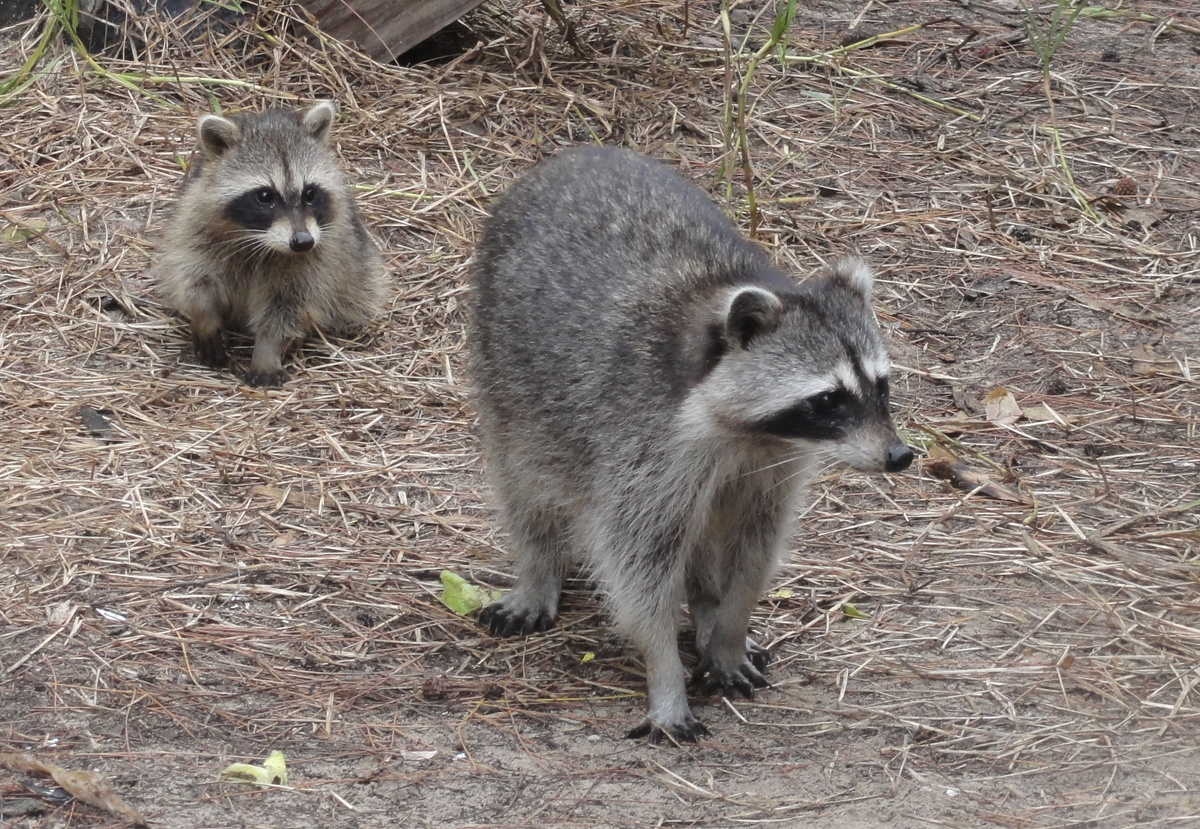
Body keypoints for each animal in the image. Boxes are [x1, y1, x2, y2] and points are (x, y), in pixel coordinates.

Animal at [159, 101, 384, 388]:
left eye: (310, 193)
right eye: (265, 196)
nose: (303, 242)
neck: (259, 240)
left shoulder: (319, 258)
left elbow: (288, 307)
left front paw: (267, 351)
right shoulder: (195, 225)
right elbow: (195, 277)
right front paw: (205, 316)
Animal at [465, 145, 907, 743]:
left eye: (880, 387)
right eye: (828, 399)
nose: (899, 456)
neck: (747, 433)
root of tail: (576, 153)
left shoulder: (773, 463)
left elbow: (754, 548)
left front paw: (728, 628)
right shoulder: (642, 442)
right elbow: (640, 569)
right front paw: (665, 673)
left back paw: (706, 609)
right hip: (505, 368)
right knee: (524, 483)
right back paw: (538, 570)